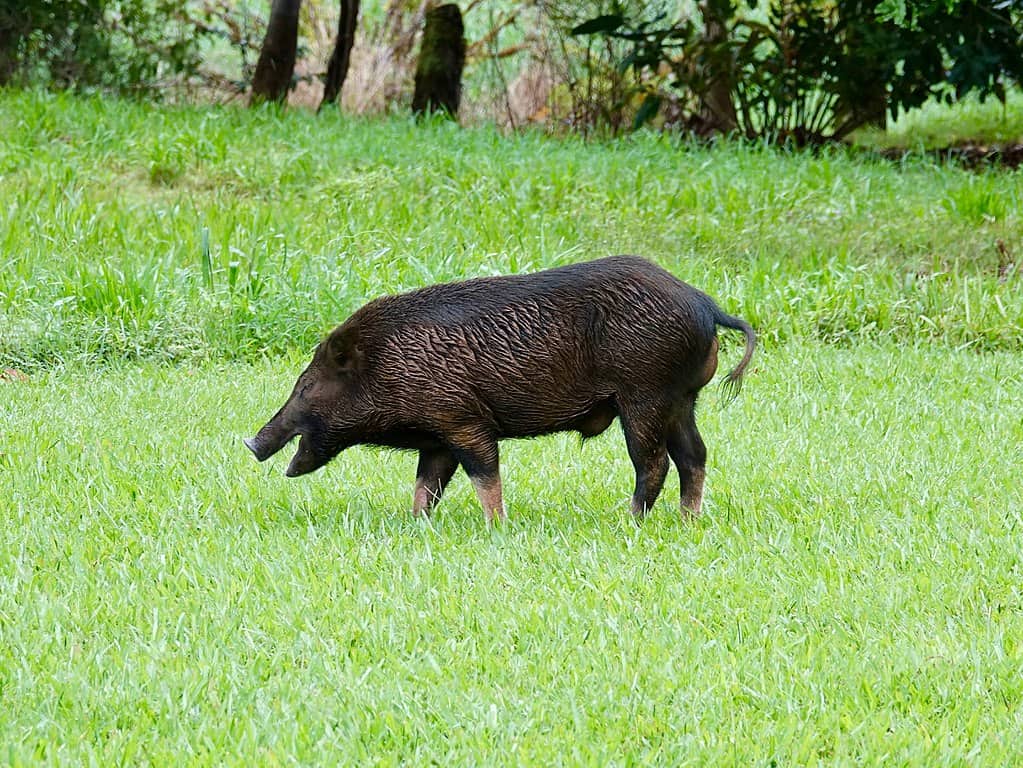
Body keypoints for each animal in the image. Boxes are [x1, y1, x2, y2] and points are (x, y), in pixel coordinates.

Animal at [244, 255, 755, 524]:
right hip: (682, 400)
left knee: (655, 462)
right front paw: (416, 525)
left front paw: (497, 526)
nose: (251, 441)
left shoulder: (465, 421)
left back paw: (628, 521)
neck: (390, 365)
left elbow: (484, 474)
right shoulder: (437, 437)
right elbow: (426, 485)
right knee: (695, 455)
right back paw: (688, 520)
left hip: (644, 394)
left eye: (307, 386)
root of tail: (705, 304)